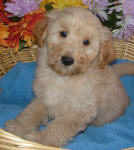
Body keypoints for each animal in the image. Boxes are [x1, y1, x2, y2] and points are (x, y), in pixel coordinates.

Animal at [4, 7, 134, 146]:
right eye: (63, 33)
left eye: (86, 42)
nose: (67, 60)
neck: (63, 77)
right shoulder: (43, 98)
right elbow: (30, 113)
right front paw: (18, 127)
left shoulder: (78, 112)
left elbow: (58, 128)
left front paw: (40, 140)